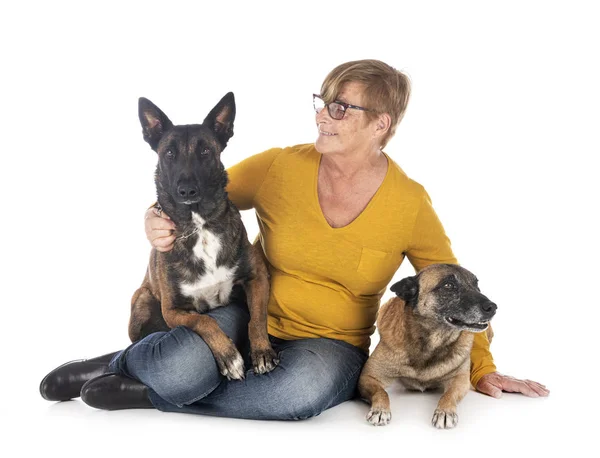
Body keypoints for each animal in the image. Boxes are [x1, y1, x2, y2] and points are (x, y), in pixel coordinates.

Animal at [129, 92, 278, 380]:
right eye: (169, 153)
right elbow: (204, 320)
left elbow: (257, 319)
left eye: (205, 151)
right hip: (140, 299)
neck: (199, 226)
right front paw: (229, 357)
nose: (187, 190)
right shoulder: (173, 311)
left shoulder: (257, 278)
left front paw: (262, 352)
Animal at [358, 262, 494, 428]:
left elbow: (449, 395)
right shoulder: (369, 377)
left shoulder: (460, 380)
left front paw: (445, 412)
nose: (493, 307)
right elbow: (381, 392)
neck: (430, 342)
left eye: (476, 285)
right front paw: (380, 409)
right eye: (448, 285)